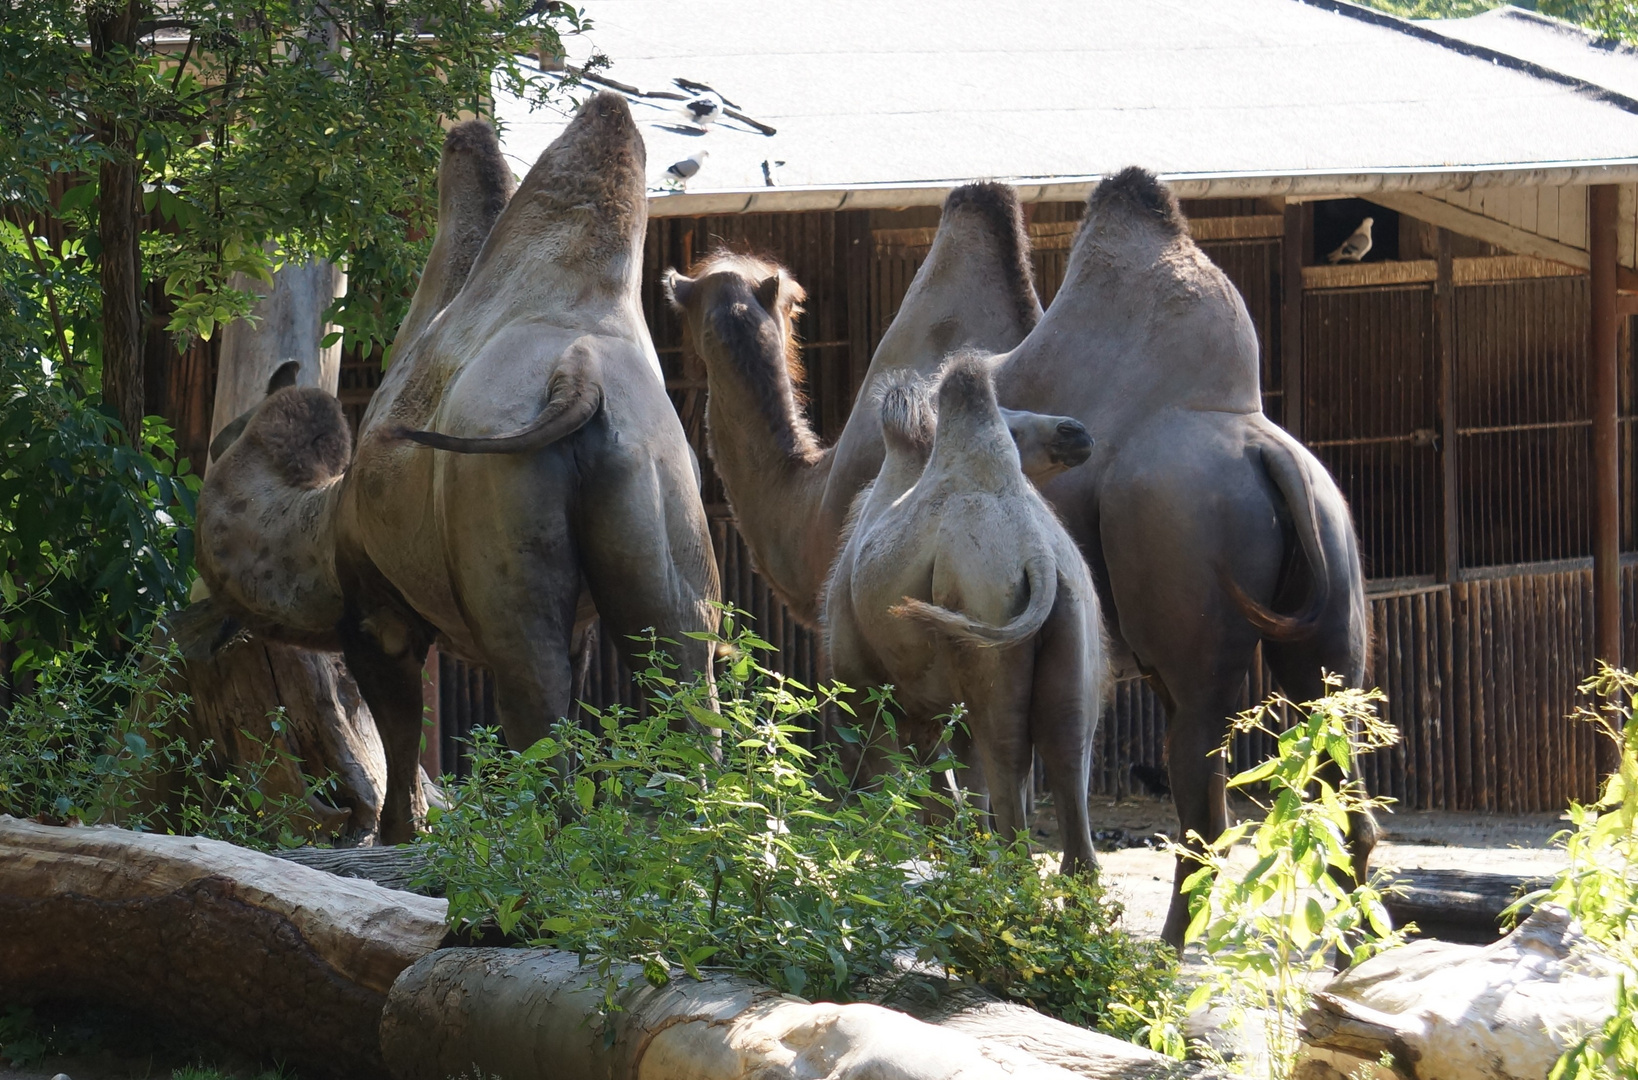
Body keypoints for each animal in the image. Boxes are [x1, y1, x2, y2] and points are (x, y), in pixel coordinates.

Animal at [196, 95, 717, 845]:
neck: (323, 519)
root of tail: (578, 374)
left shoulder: (376, 611)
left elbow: (398, 733)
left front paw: (396, 835)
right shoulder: (582, 623)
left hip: (495, 511)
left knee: (533, 692)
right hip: (657, 487)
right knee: (681, 680)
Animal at [825, 358, 1107, 871]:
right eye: (1014, 426)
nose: (1075, 432)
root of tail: (1036, 551)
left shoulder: (865, 688)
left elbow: (895, 780)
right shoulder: (930, 708)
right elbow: (955, 784)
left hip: (982, 603)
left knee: (1007, 751)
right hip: (1069, 614)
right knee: (1065, 744)